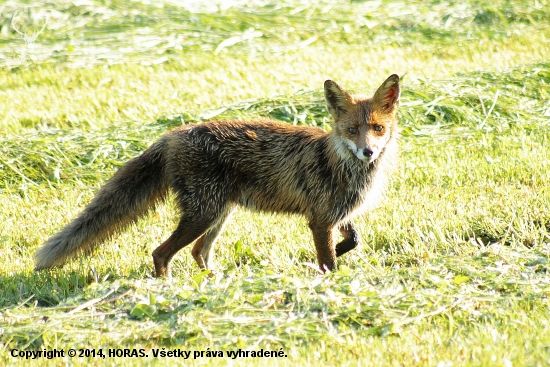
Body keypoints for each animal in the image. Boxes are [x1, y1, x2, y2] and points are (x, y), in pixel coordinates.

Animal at [34, 75, 402, 276]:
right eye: (352, 130)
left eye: (377, 129)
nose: (368, 152)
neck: (344, 166)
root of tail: (172, 134)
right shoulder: (320, 220)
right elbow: (329, 262)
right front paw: (327, 278)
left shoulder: (338, 214)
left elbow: (353, 241)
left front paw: (330, 255)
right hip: (204, 213)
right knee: (161, 252)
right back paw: (168, 286)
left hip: (219, 214)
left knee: (198, 252)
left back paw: (212, 283)